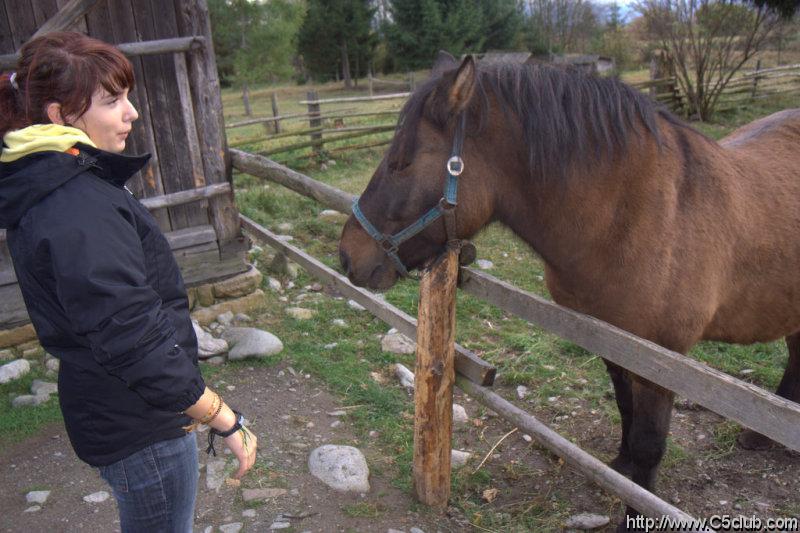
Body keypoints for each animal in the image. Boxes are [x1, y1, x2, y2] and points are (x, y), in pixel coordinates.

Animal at [340, 55, 800, 528]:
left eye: (401, 162)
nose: (347, 255)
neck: (643, 215)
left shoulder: (662, 363)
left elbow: (649, 444)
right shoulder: (612, 341)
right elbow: (625, 410)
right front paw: (621, 469)